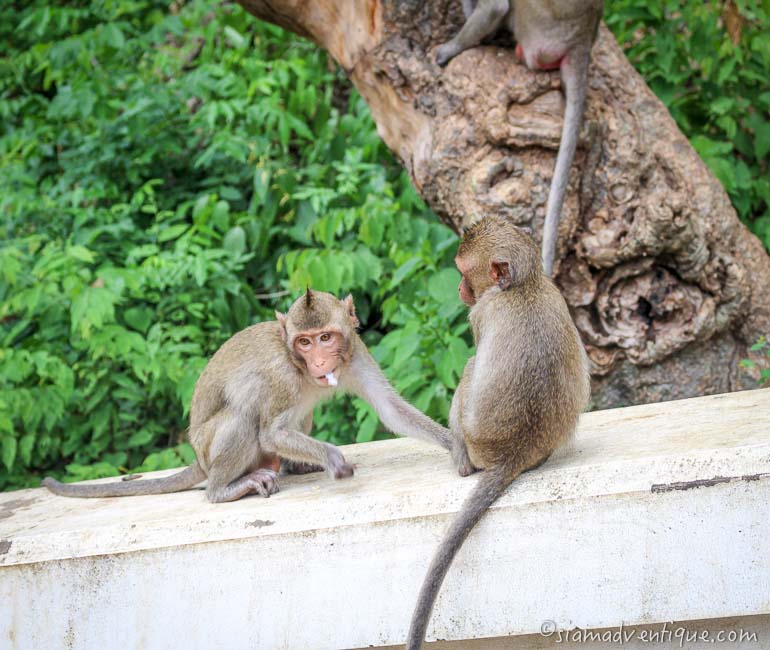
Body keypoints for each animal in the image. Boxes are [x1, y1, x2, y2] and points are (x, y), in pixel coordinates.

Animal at [402, 215, 588, 644]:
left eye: (462, 271)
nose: (459, 289)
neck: (524, 286)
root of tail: (514, 453)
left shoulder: (481, 312)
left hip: (478, 442)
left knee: (471, 369)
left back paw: (461, 460)